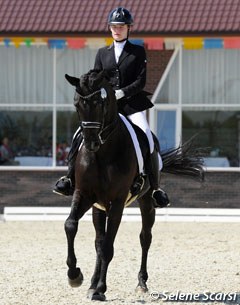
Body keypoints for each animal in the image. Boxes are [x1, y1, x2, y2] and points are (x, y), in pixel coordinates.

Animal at [62, 69, 203, 300]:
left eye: (99, 103)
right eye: (76, 104)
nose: (91, 143)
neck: (103, 153)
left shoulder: (118, 202)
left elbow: (109, 246)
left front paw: (101, 289)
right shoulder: (84, 194)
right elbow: (71, 225)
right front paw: (75, 276)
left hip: (146, 202)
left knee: (145, 238)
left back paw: (141, 283)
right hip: (98, 207)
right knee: (98, 241)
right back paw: (91, 283)